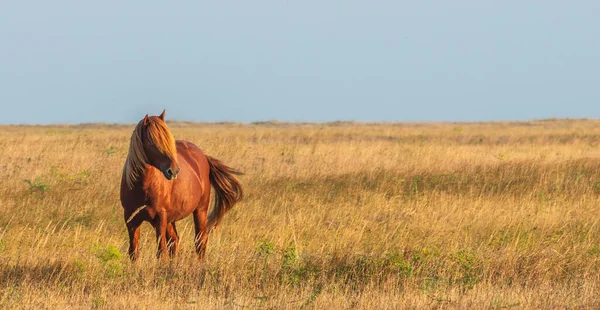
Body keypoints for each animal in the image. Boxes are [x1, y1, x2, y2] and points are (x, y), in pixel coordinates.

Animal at [120, 110, 243, 260]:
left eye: (169, 141)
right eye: (151, 142)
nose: (173, 171)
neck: (142, 187)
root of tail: (202, 155)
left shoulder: (160, 219)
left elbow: (161, 252)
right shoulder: (131, 220)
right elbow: (134, 252)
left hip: (200, 210)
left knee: (200, 241)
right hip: (171, 219)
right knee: (175, 242)